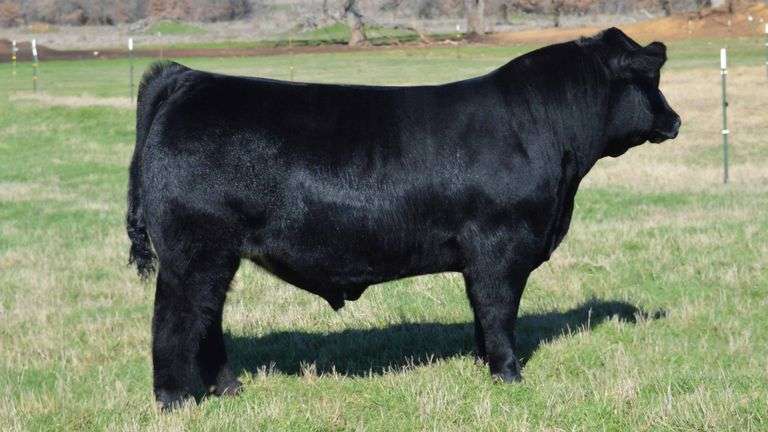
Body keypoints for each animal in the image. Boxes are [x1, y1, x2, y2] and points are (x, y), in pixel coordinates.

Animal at [126, 27, 681, 410]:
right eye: (649, 79)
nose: (675, 121)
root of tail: (188, 77)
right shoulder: (500, 247)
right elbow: (499, 311)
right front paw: (509, 375)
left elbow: (482, 315)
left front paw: (483, 363)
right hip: (193, 252)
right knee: (175, 321)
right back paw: (176, 400)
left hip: (216, 257)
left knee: (207, 320)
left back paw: (229, 389)